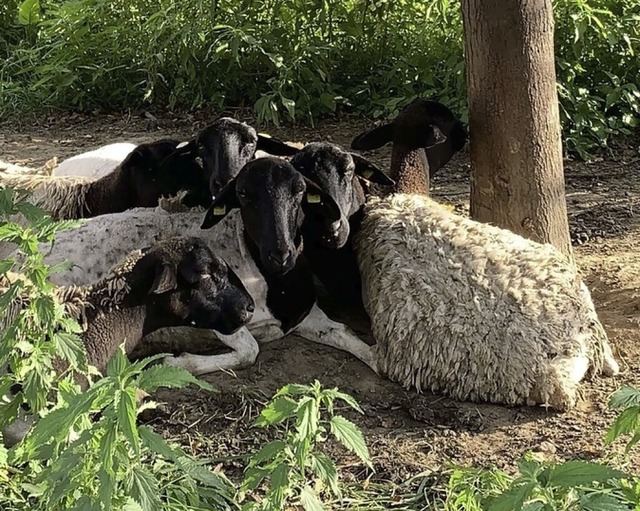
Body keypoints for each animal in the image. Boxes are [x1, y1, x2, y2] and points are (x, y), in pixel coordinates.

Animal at [32, 158, 376, 378]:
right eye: (243, 194)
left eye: (300, 192)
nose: (281, 253)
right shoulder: (216, 316)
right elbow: (249, 350)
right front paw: (175, 363)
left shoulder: (303, 314)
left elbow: (344, 332)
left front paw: (379, 361)